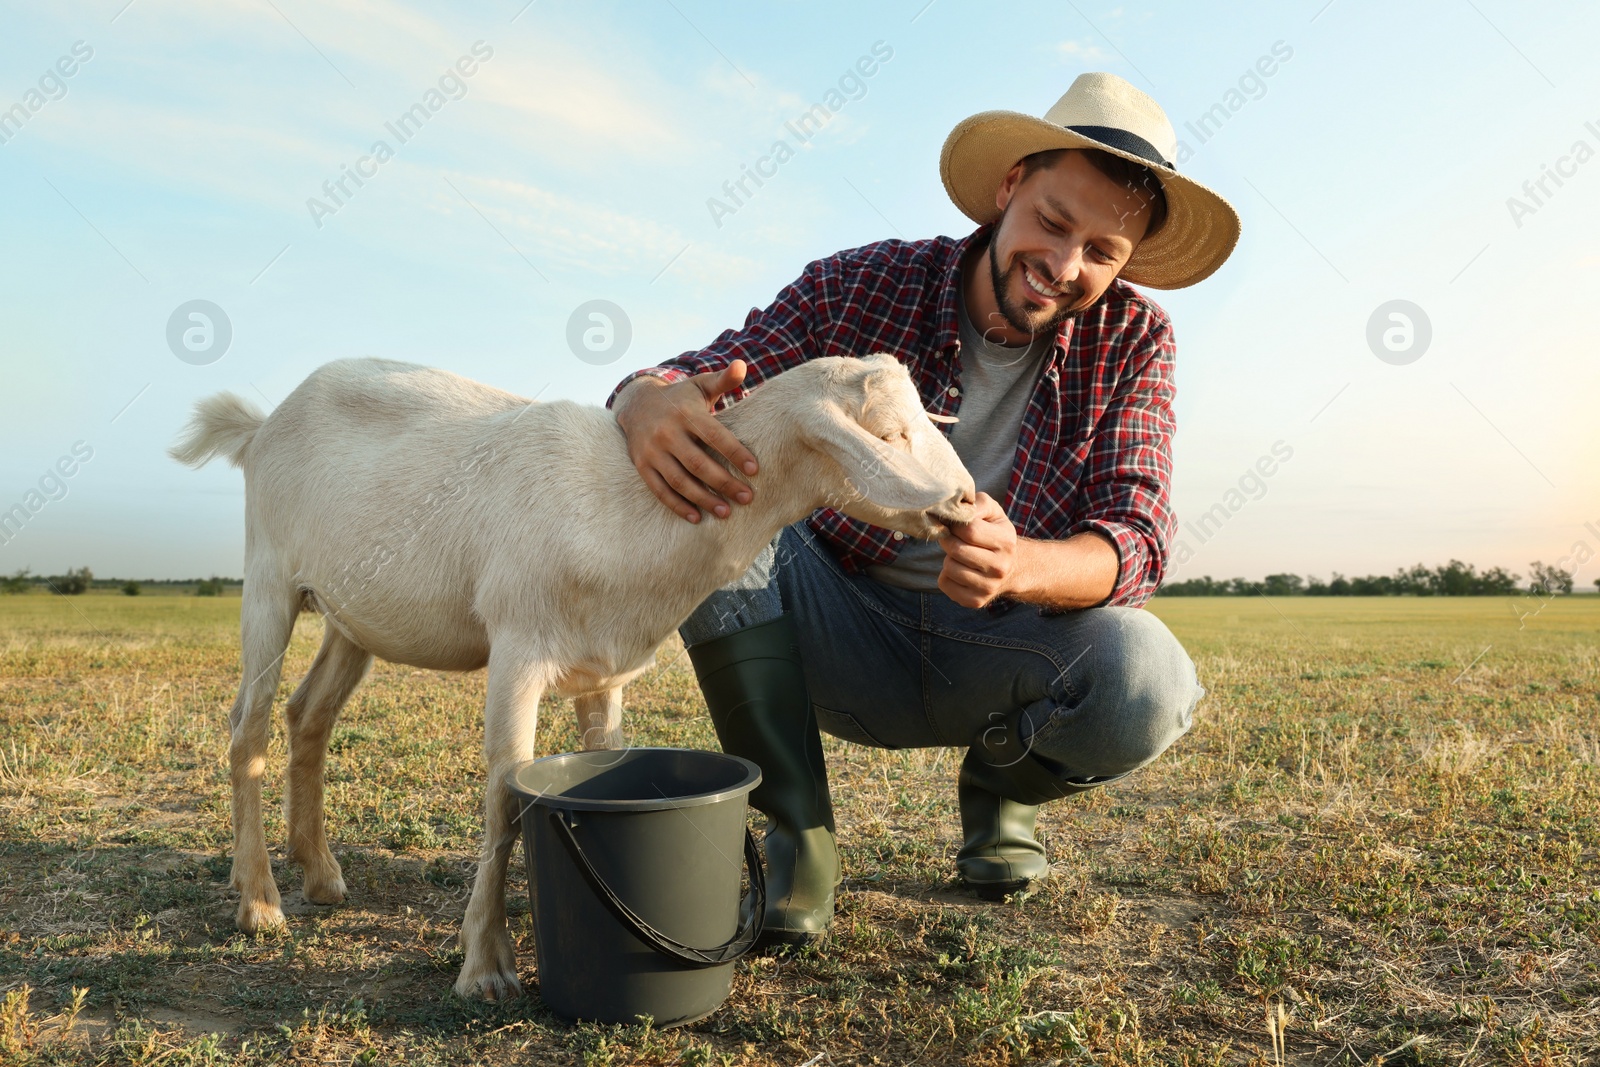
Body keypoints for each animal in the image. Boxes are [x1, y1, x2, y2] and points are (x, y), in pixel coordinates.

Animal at [172, 351, 972, 1004]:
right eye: (887, 433)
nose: (968, 503)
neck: (629, 507)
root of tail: (262, 424)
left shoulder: (604, 670)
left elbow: (600, 761)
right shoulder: (518, 648)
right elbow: (504, 794)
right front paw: (486, 966)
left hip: (352, 613)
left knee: (308, 715)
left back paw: (319, 873)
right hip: (269, 579)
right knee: (247, 727)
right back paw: (259, 901)